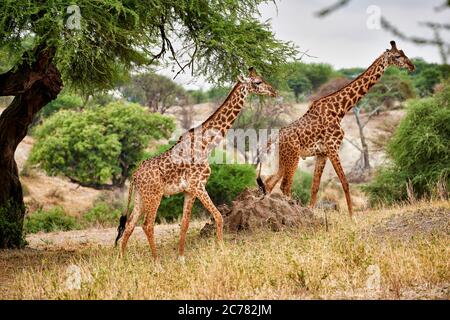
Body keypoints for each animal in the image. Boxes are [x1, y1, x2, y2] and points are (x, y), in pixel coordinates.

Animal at [115, 68, 278, 260]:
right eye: (257, 82)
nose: (274, 91)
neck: (207, 144)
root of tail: (134, 175)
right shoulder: (198, 185)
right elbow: (218, 216)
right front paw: (222, 250)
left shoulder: (188, 190)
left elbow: (185, 223)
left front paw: (181, 258)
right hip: (154, 195)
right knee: (147, 225)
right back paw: (156, 261)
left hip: (140, 197)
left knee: (130, 225)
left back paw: (121, 260)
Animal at [256, 41, 414, 218]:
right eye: (397, 56)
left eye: (403, 52)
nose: (412, 66)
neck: (340, 110)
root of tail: (275, 137)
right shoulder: (333, 148)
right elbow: (345, 182)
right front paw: (352, 217)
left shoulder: (322, 153)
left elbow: (315, 186)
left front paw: (312, 213)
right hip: (292, 156)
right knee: (284, 185)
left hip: (284, 158)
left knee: (270, 182)